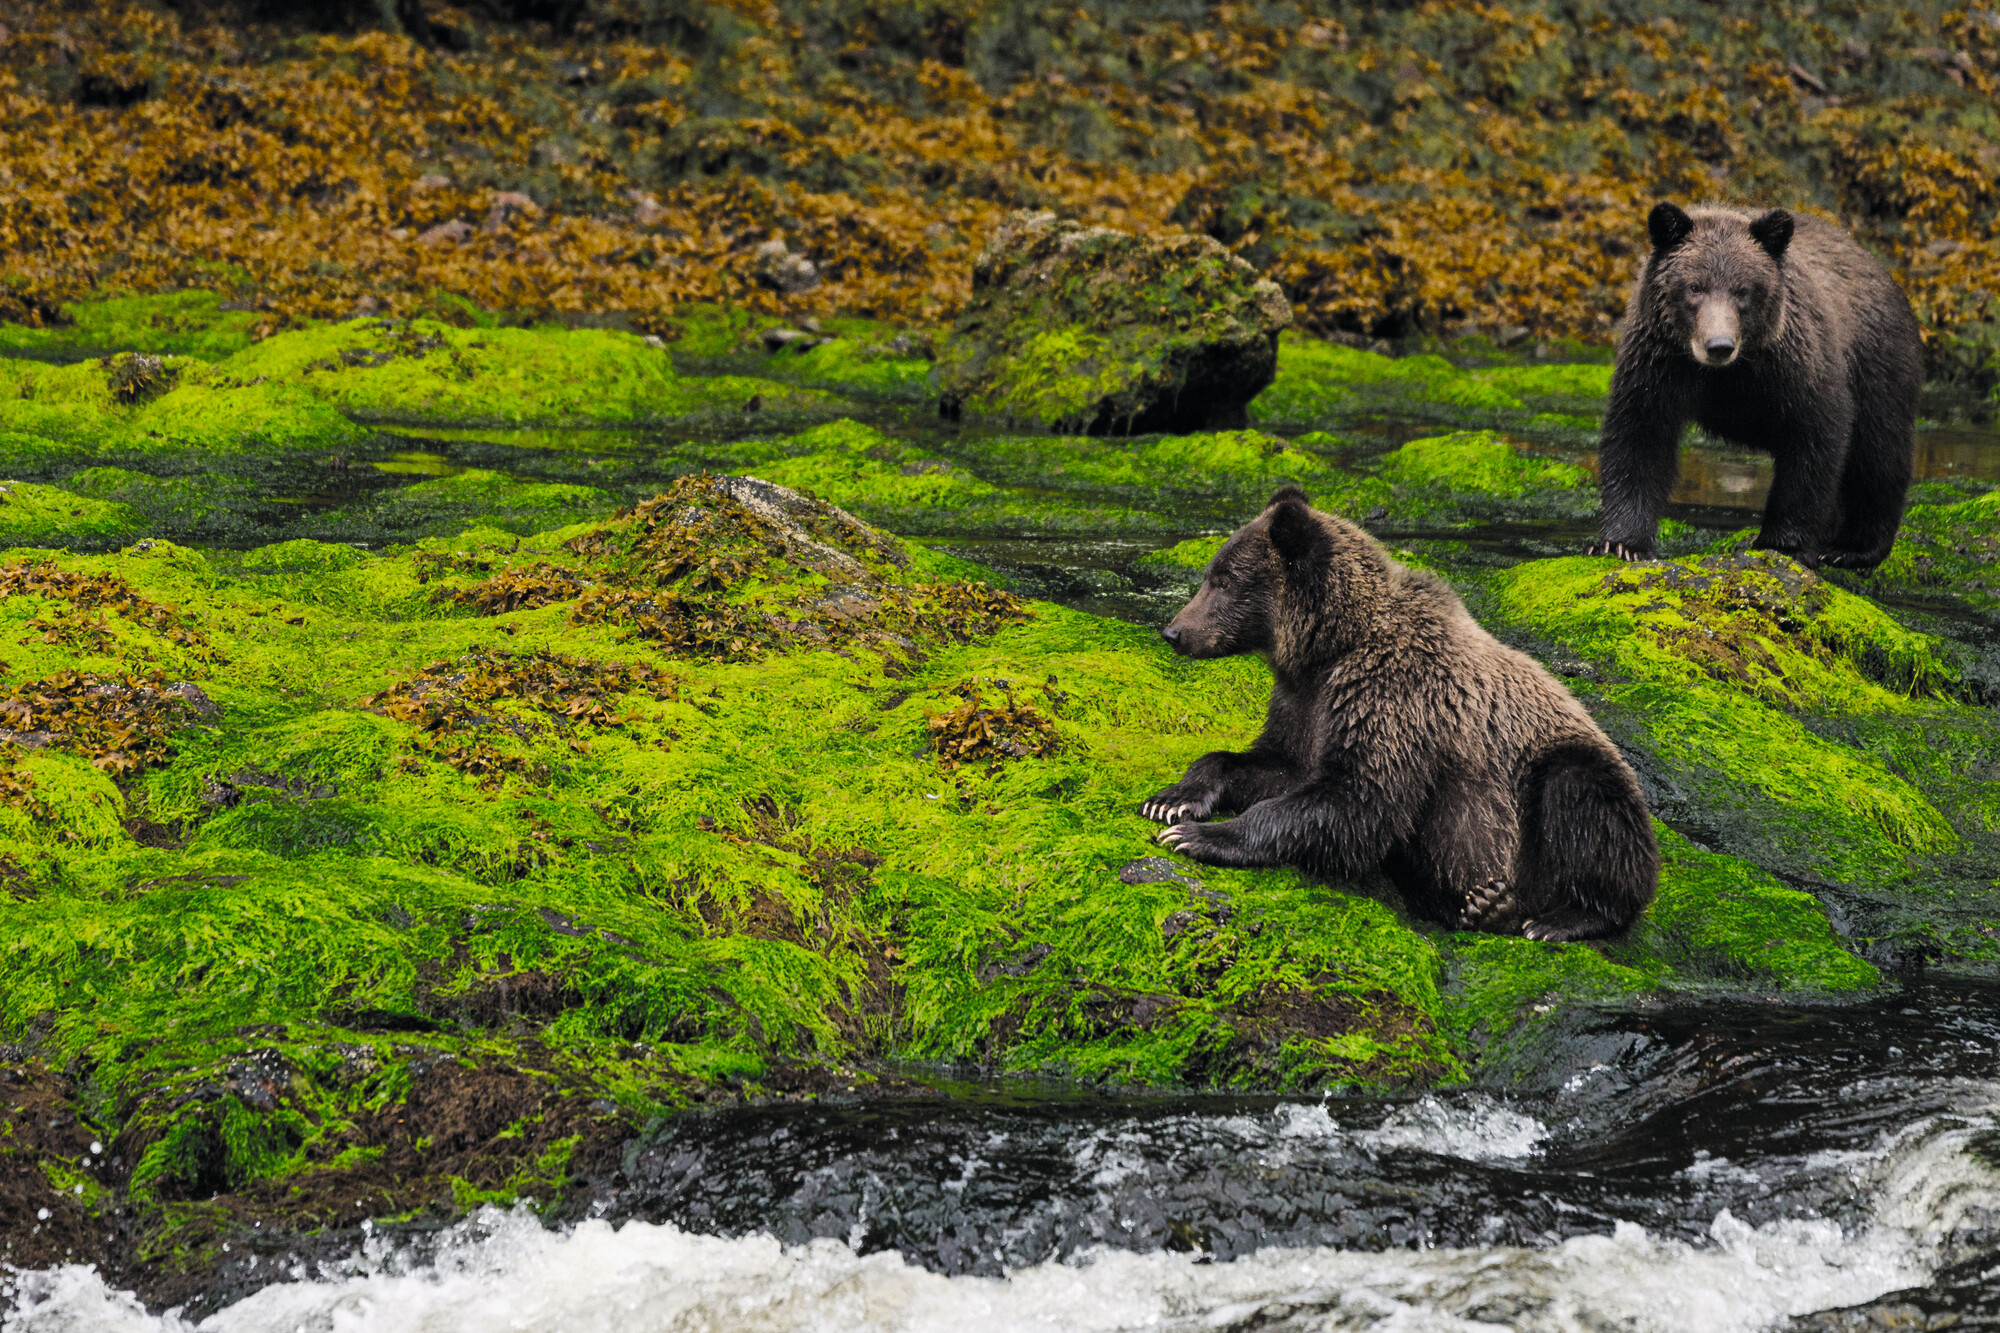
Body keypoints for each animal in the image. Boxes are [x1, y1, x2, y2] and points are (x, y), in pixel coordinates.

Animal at [1136, 486, 1664, 932]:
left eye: (1224, 580)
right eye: (1211, 573)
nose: (1174, 631)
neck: (1333, 646)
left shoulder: (1393, 698)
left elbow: (1359, 797)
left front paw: (1199, 836)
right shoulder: (1306, 704)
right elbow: (1275, 765)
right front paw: (1170, 800)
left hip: (1558, 781)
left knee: (1582, 801)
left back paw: (1556, 917)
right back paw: (1484, 905)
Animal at [1592, 201, 1920, 564]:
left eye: (1742, 290)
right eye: (1694, 287)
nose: (1719, 345)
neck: (1729, 372)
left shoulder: (1795, 366)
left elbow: (1815, 437)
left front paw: (1783, 541)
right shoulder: (1658, 363)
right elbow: (1638, 438)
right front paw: (1623, 543)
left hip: (1877, 362)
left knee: (1878, 453)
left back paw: (1852, 548)